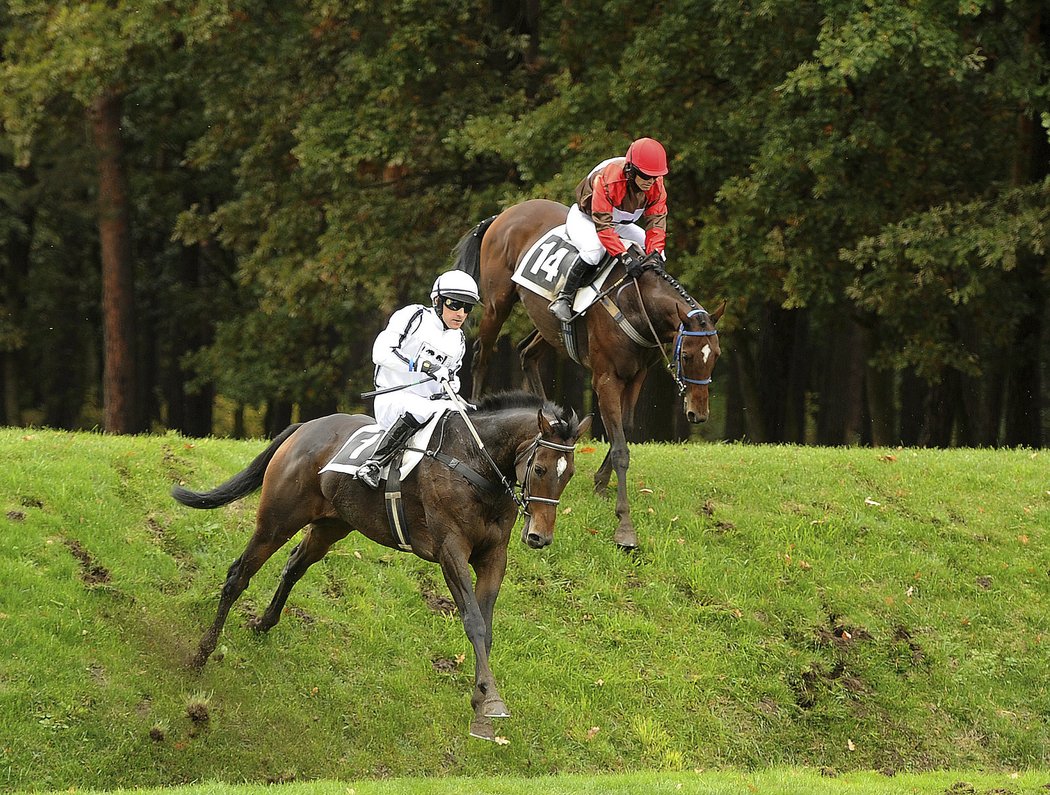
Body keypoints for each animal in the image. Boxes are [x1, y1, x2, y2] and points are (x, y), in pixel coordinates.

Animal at [172, 390, 592, 739]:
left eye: (569, 474)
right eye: (540, 469)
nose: (539, 536)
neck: (474, 462)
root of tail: (304, 428)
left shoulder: (493, 556)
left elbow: (485, 629)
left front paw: (482, 700)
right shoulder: (450, 550)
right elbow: (473, 621)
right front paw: (490, 702)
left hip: (332, 524)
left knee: (294, 565)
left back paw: (263, 623)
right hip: (277, 520)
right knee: (238, 575)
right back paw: (200, 654)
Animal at [455, 197, 726, 550]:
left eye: (716, 355)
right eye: (688, 355)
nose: (698, 413)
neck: (635, 302)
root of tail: (505, 213)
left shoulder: (637, 375)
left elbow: (624, 427)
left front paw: (599, 481)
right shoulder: (605, 377)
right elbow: (621, 445)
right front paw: (624, 524)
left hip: (549, 325)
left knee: (528, 352)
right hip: (497, 303)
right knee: (482, 355)